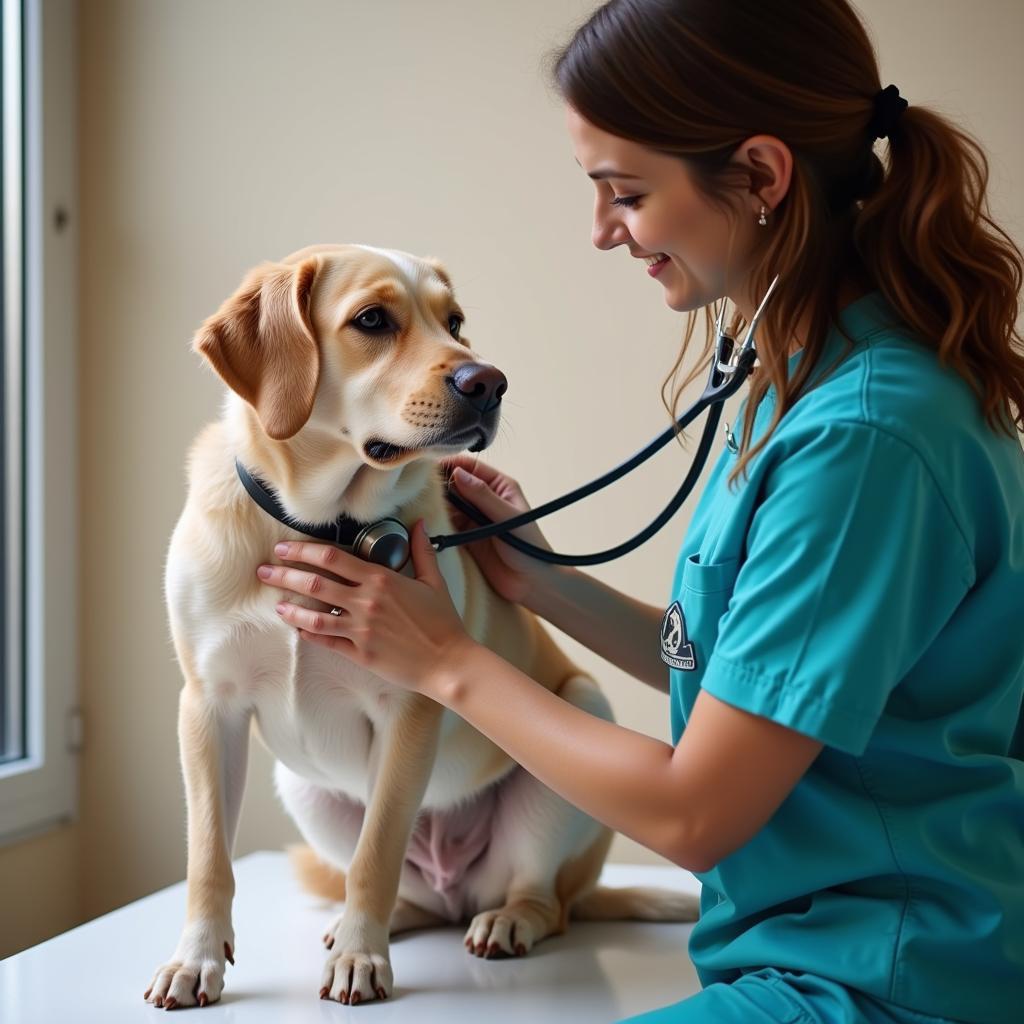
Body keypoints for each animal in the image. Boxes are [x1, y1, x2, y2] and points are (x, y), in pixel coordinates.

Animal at [146, 241, 696, 1007]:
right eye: (372, 320)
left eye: (455, 321)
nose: (489, 381)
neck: (317, 524)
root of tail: (457, 889)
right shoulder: (207, 706)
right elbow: (208, 859)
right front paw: (195, 959)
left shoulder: (407, 707)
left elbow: (376, 853)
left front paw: (360, 956)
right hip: (302, 785)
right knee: (402, 890)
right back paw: (396, 916)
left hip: (582, 718)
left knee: (541, 899)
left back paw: (504, 921)